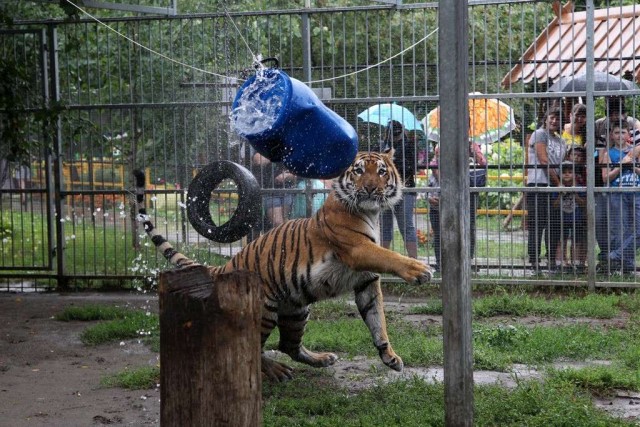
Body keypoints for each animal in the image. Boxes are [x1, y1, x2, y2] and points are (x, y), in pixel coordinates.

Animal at [134, 151, 432, 382]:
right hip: (264, 309)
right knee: (256, 346)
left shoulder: (366, 281)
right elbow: (390, 257)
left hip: (297, 309)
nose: (370, 188)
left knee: (288, 345)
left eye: (381, 172)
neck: (370, 212)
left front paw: (390, 357)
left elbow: (377, 320)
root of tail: (227, 265)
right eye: (359, 171)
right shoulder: (357, 249)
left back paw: (321, 359)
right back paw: (275, 370)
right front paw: (420, 270)